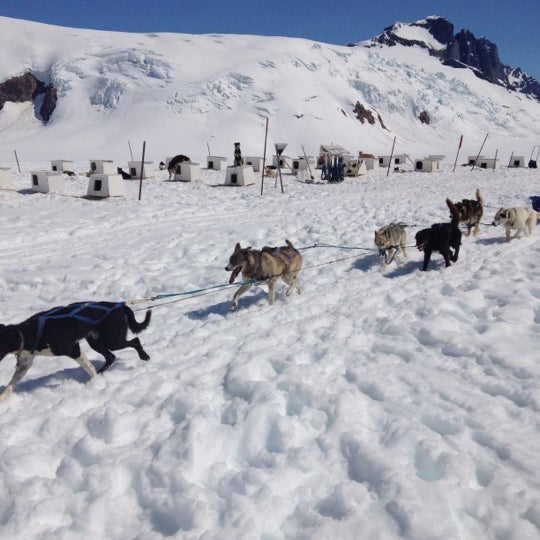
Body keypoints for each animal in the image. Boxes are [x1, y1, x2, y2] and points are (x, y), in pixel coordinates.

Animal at [1, 302, 152, 398]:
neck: (27, 333)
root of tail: (119, 305)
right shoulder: (24, 365)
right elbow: (10, 385)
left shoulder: (74, 349)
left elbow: (88, 367)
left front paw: (97, 384)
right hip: (96, 342)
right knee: (111, 356)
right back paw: (101, 372)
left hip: (113, 339)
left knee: (135, 341)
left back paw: (144, 356)